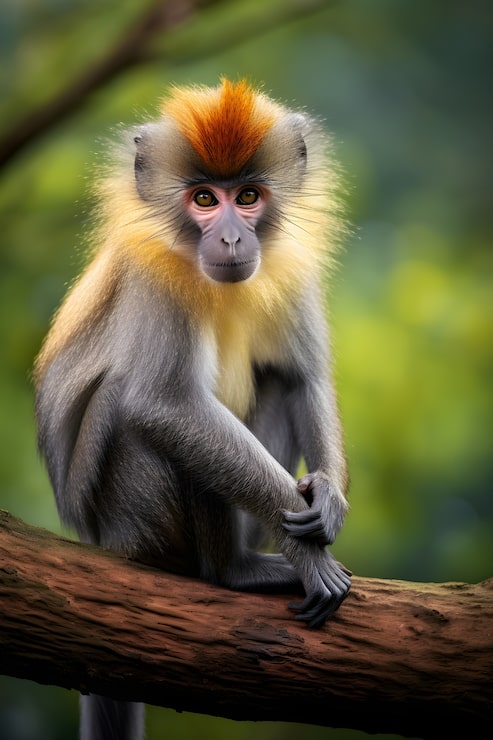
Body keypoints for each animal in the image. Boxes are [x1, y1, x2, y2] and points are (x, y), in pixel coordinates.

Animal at [34, 79, 351, 740]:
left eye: (247, 196)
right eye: (205, 199)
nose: (230, 238)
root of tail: (98, 540)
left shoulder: (292, 262)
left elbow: (303, 378)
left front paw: (330, 500)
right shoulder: (158, 278)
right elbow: (167, 406)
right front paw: (311, 557)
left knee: (275, 380)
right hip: (131, 520)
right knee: (136, 410)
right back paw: (234, 571)